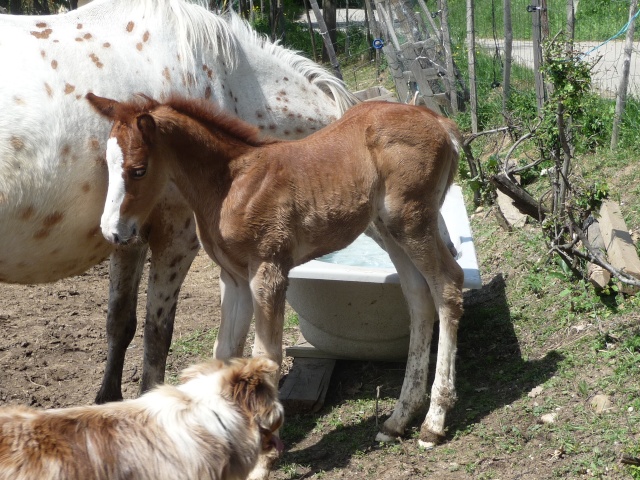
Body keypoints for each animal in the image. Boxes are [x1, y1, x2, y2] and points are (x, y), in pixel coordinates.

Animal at [0, 0, 360, 404]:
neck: (228, 78)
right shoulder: (177, 234)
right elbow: (158, 332)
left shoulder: (129, 235)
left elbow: (120, 323)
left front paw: (108, 399)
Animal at [86, 93, 464, 450]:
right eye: (108, 166)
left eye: (138, 169)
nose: (112, 232)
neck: (229, 185)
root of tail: (439, 121)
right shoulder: (235, 279)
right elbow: (225, 353)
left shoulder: (268, 271)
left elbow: (265, 355)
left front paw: (268, 444)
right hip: (389, 229)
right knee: (419, 298)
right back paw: (398, 420)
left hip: (411, 221)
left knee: (448, 285)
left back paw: (434, 422)